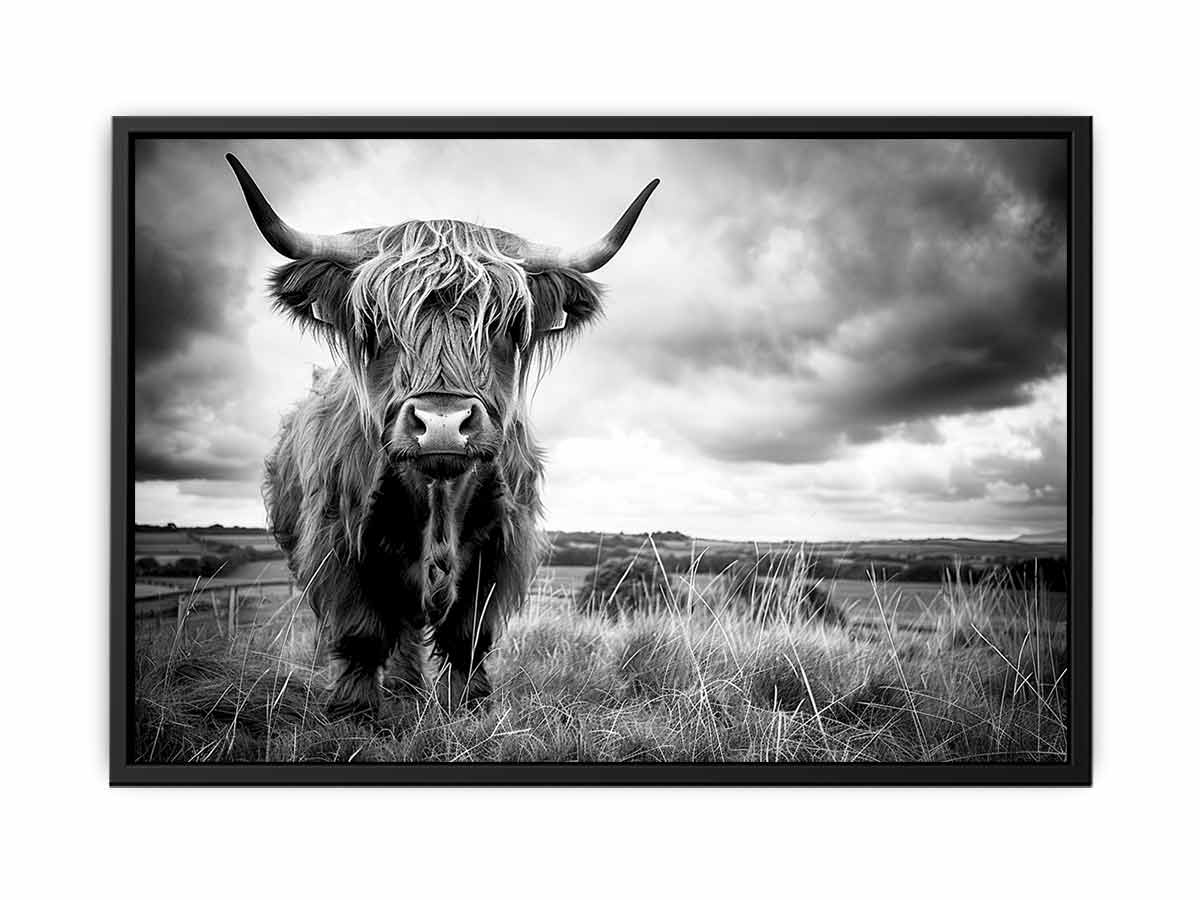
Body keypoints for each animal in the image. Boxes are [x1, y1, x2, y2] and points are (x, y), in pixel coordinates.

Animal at [226, 154, 658, 719]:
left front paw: (469, 707)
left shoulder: (501, 543)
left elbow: (469, 634)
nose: (443, 423)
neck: (439, 497)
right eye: (376, 323)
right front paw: (354, 712)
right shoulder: (338, 541)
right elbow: (362, 631)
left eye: (504, 325)